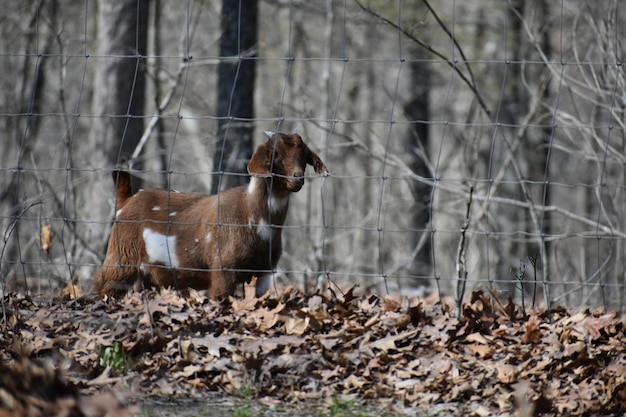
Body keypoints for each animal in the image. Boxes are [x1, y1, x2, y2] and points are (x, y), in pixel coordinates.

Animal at [94, 132, 326, 298]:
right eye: (275, 154)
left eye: (304, 156)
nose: (297, 178)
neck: (251, 218)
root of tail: (126, 201)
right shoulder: (222, 268)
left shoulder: (264, 273)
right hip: (120, 257)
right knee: (101, 287)